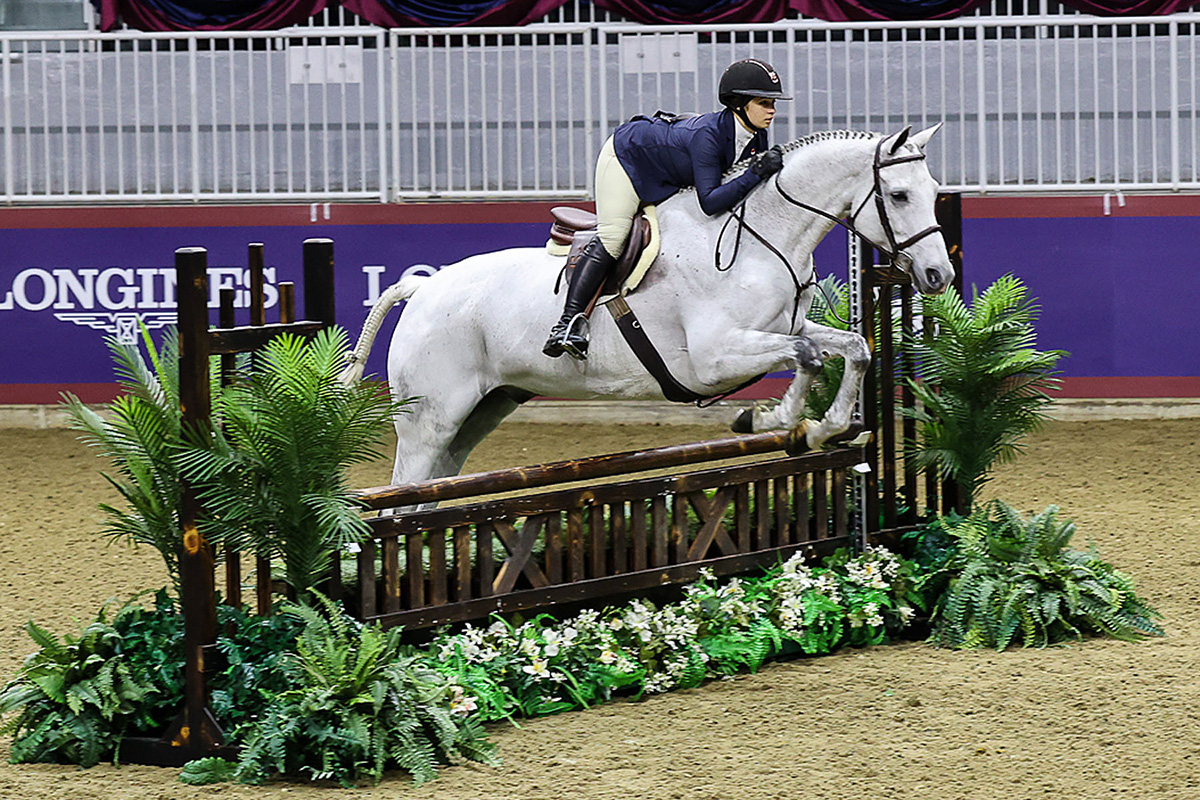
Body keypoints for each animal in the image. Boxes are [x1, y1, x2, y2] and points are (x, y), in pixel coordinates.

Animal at [343, 125, 950, 489]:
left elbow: (852, 347)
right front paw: (765, 420)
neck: (757, 238)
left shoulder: (783, 328)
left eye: (934, 190)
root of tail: (423, 290)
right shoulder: (712, 359)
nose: (938, 276)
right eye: (898, 196)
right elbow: (805, 356)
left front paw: (826, 429)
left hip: (481, 411)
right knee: (403, 491)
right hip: (429, 418)